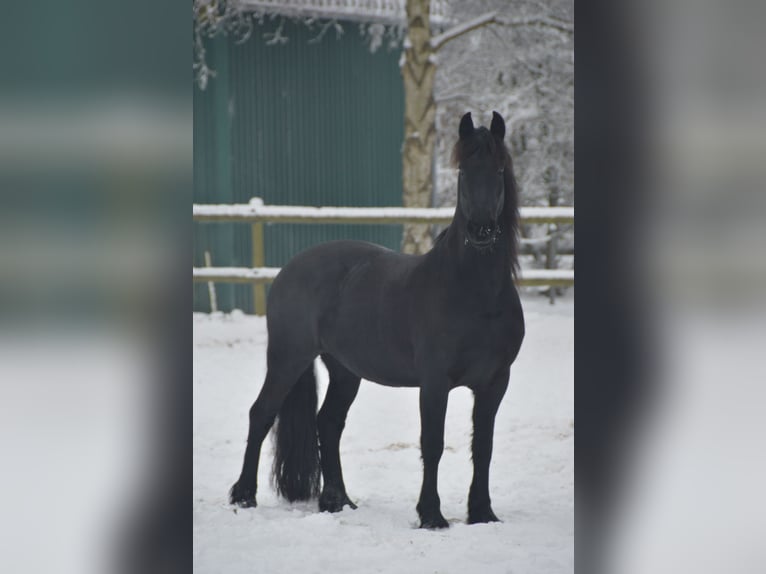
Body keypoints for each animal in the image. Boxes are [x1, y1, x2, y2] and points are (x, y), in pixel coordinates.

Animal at [229, 111, 525, 529]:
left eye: (499, 169)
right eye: (464, 170)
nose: (481, 229)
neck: (475, 295)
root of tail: (291, 268)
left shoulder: (495, 382)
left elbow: (483, 446)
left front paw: (482, 512)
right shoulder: (434, 382)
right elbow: (432, 444)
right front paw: (431, 515)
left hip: (344, 370)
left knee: (328, 423)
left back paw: (337, 500)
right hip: (289, 357)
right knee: (262, 414)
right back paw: (244, 496)